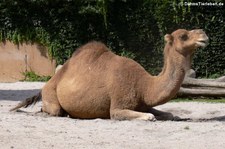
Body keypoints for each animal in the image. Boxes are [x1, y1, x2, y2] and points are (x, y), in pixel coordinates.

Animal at [10, 29, 207, 121]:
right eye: (183, 36)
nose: (203, 34)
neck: (144, 85)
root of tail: (47, 84)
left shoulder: (143, 104)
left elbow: (170, 114)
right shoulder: (118, 104)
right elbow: (147, 116)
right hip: (51, 96)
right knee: (54, 110)